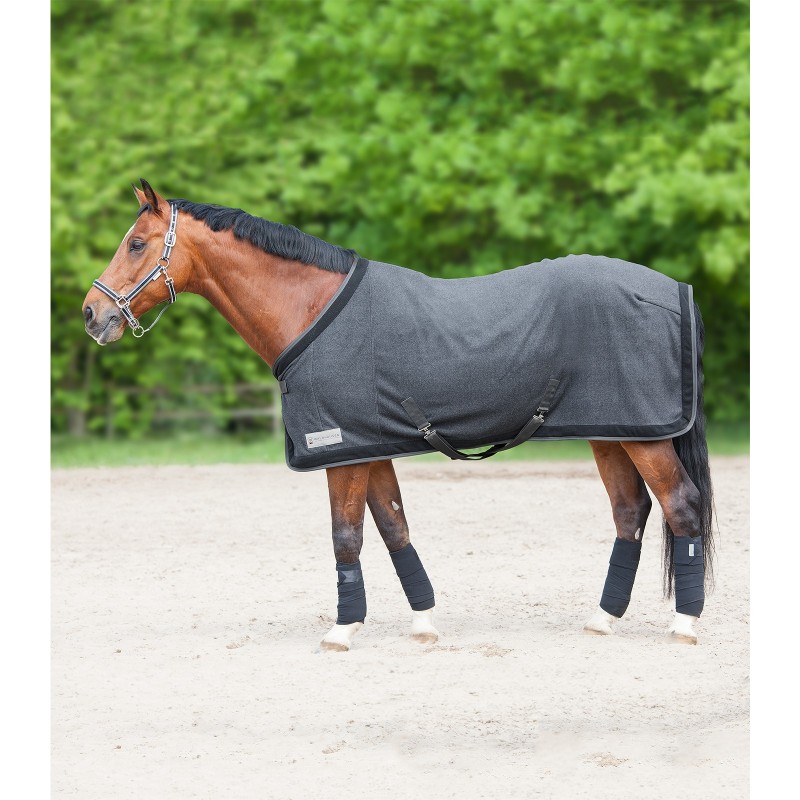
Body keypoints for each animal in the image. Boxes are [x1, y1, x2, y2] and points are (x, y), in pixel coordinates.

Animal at [82, 180, 715, 651]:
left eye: (136, 244)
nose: (91, 314)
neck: (309, 308)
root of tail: (673, 292)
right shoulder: (369, 445)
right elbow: (393, 527)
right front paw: (423, 623)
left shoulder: (340, 451)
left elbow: (346, 536)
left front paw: (342, 630)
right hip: (611, 432)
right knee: (630, 511)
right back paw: (603, 619)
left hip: (645, 436)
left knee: (680, 505)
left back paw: (685, 625)